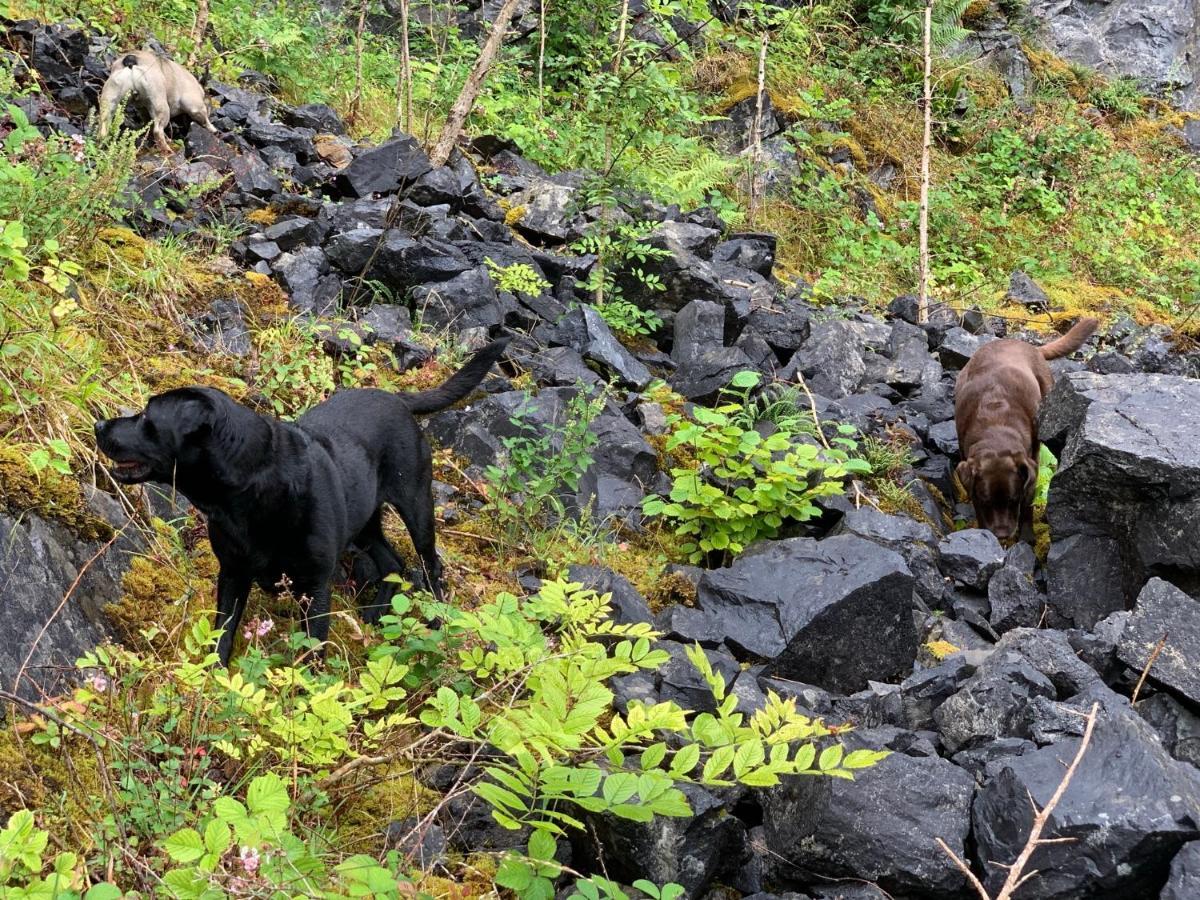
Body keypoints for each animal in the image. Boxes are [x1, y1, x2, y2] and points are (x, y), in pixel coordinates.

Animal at [93, 338, 506, 662]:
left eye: (146, 417)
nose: (98, 424)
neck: (247, 494)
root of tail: (397, 398)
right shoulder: (233, 573)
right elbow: (222, 635)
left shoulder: (315, 587)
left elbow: (311, 653)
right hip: (363, 520)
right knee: (393, 562)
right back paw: (376, 615)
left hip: (416, 503)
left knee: (429, 563)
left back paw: (438, 619)